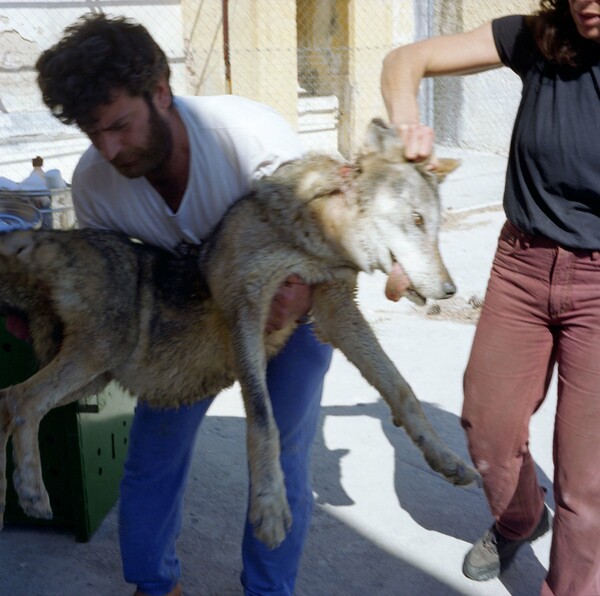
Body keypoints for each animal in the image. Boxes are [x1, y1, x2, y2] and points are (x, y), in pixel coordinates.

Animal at [0, 118, 478, 548]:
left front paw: (446, 459)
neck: (314, 236)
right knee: (23, 400)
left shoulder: (337, 313)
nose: (450, 290)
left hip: (94, 375)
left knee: (9, 399)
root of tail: (43, 235)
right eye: (417, 219)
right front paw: (269, 508)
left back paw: (8, 496)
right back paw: (33, 492)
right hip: (101, 353)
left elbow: (401, 388)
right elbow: (264, 421)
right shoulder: (247, 311)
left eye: (436, 226)